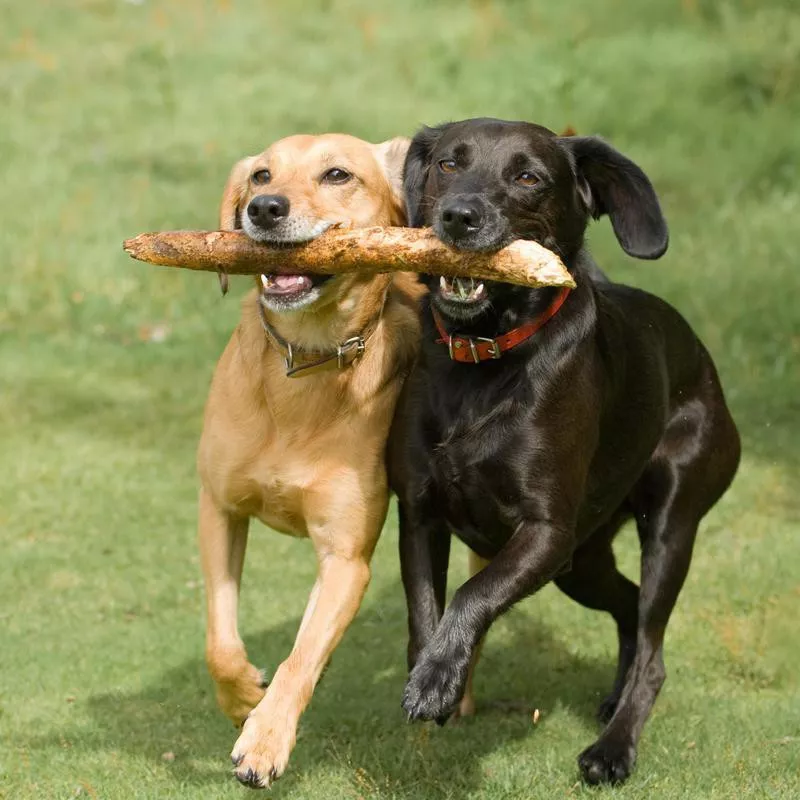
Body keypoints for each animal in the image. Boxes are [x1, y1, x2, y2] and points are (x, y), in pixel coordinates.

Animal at [390, 119, 740, 780]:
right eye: (449, 164)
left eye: (529, 176)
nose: (458, 217)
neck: (483, 362)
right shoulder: (419, 512)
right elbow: (425, 606)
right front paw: (433, 676)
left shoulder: (546, 531)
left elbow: (473, 593)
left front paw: (438, 678)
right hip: (582, 563)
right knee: (628, 606)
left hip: (668, 525)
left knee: (653, 650)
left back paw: (612, 748)